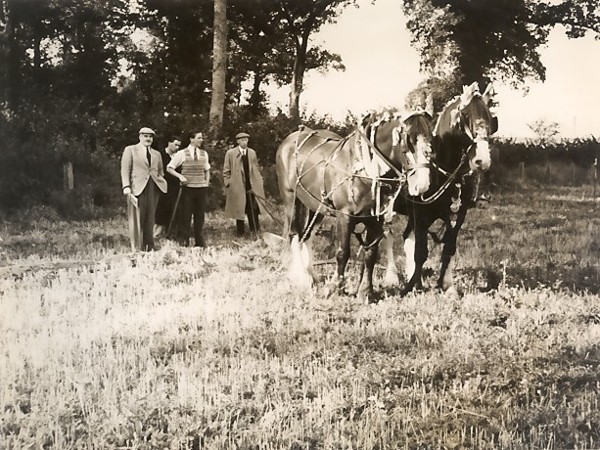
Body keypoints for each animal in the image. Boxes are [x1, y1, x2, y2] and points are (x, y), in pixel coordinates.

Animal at [274, 110, 434, 302]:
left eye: (431, 137)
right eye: (407, 140)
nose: (423, 184)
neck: (365, 167)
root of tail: (290, 138)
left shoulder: (375, 219)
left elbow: (371, 254)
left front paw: (366, 292)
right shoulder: (344, 216)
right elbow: (343, 253)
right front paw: (336, 288)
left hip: (316, 206)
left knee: (308, 236)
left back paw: (313, 276)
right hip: (291, 199)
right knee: (294, 233)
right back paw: (302, 278)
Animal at [394, 82, 496, 298]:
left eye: (490, 118)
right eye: (464, 116)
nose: (481, 161)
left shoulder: (458, 215)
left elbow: (448, 247)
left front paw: (447, 286)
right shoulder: (420, 214)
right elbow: (420, 252)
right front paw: (411, 286)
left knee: (407, 237)